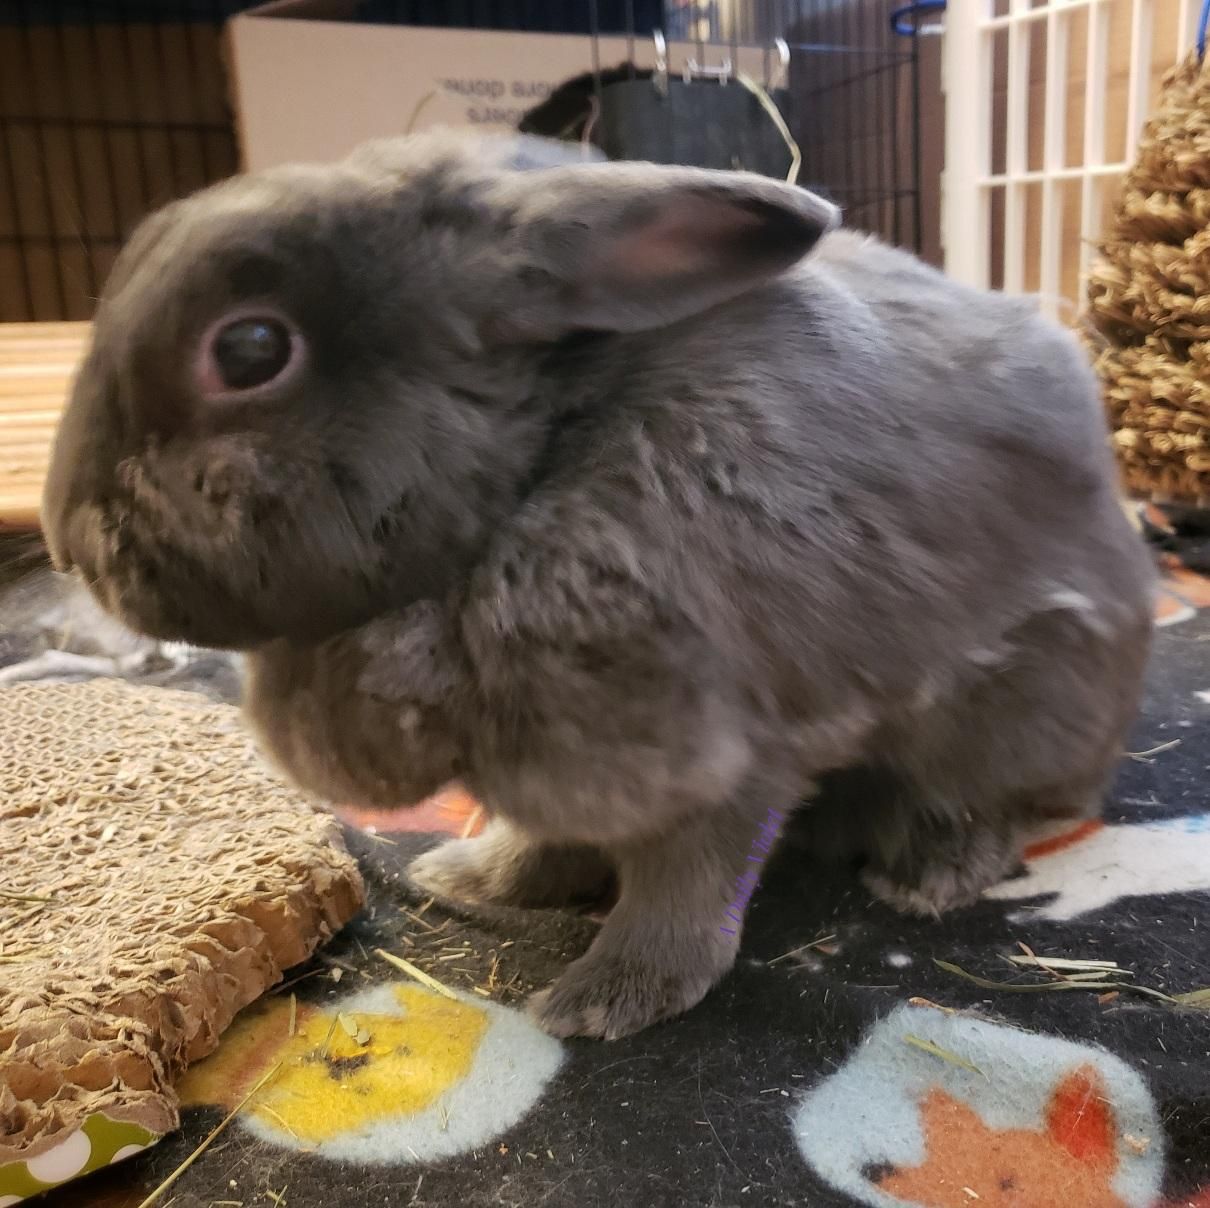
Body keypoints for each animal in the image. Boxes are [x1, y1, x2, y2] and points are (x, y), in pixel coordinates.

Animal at [41, 130, 1154, 1039]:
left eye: (249, 348)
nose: (66, 539)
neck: (536, 464)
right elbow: (545, 840)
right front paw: (471, 878)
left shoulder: (715, 749)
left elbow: (683, 883)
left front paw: (606, 998)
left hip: (1015, 702)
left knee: (1000, 800)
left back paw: (929, 871)